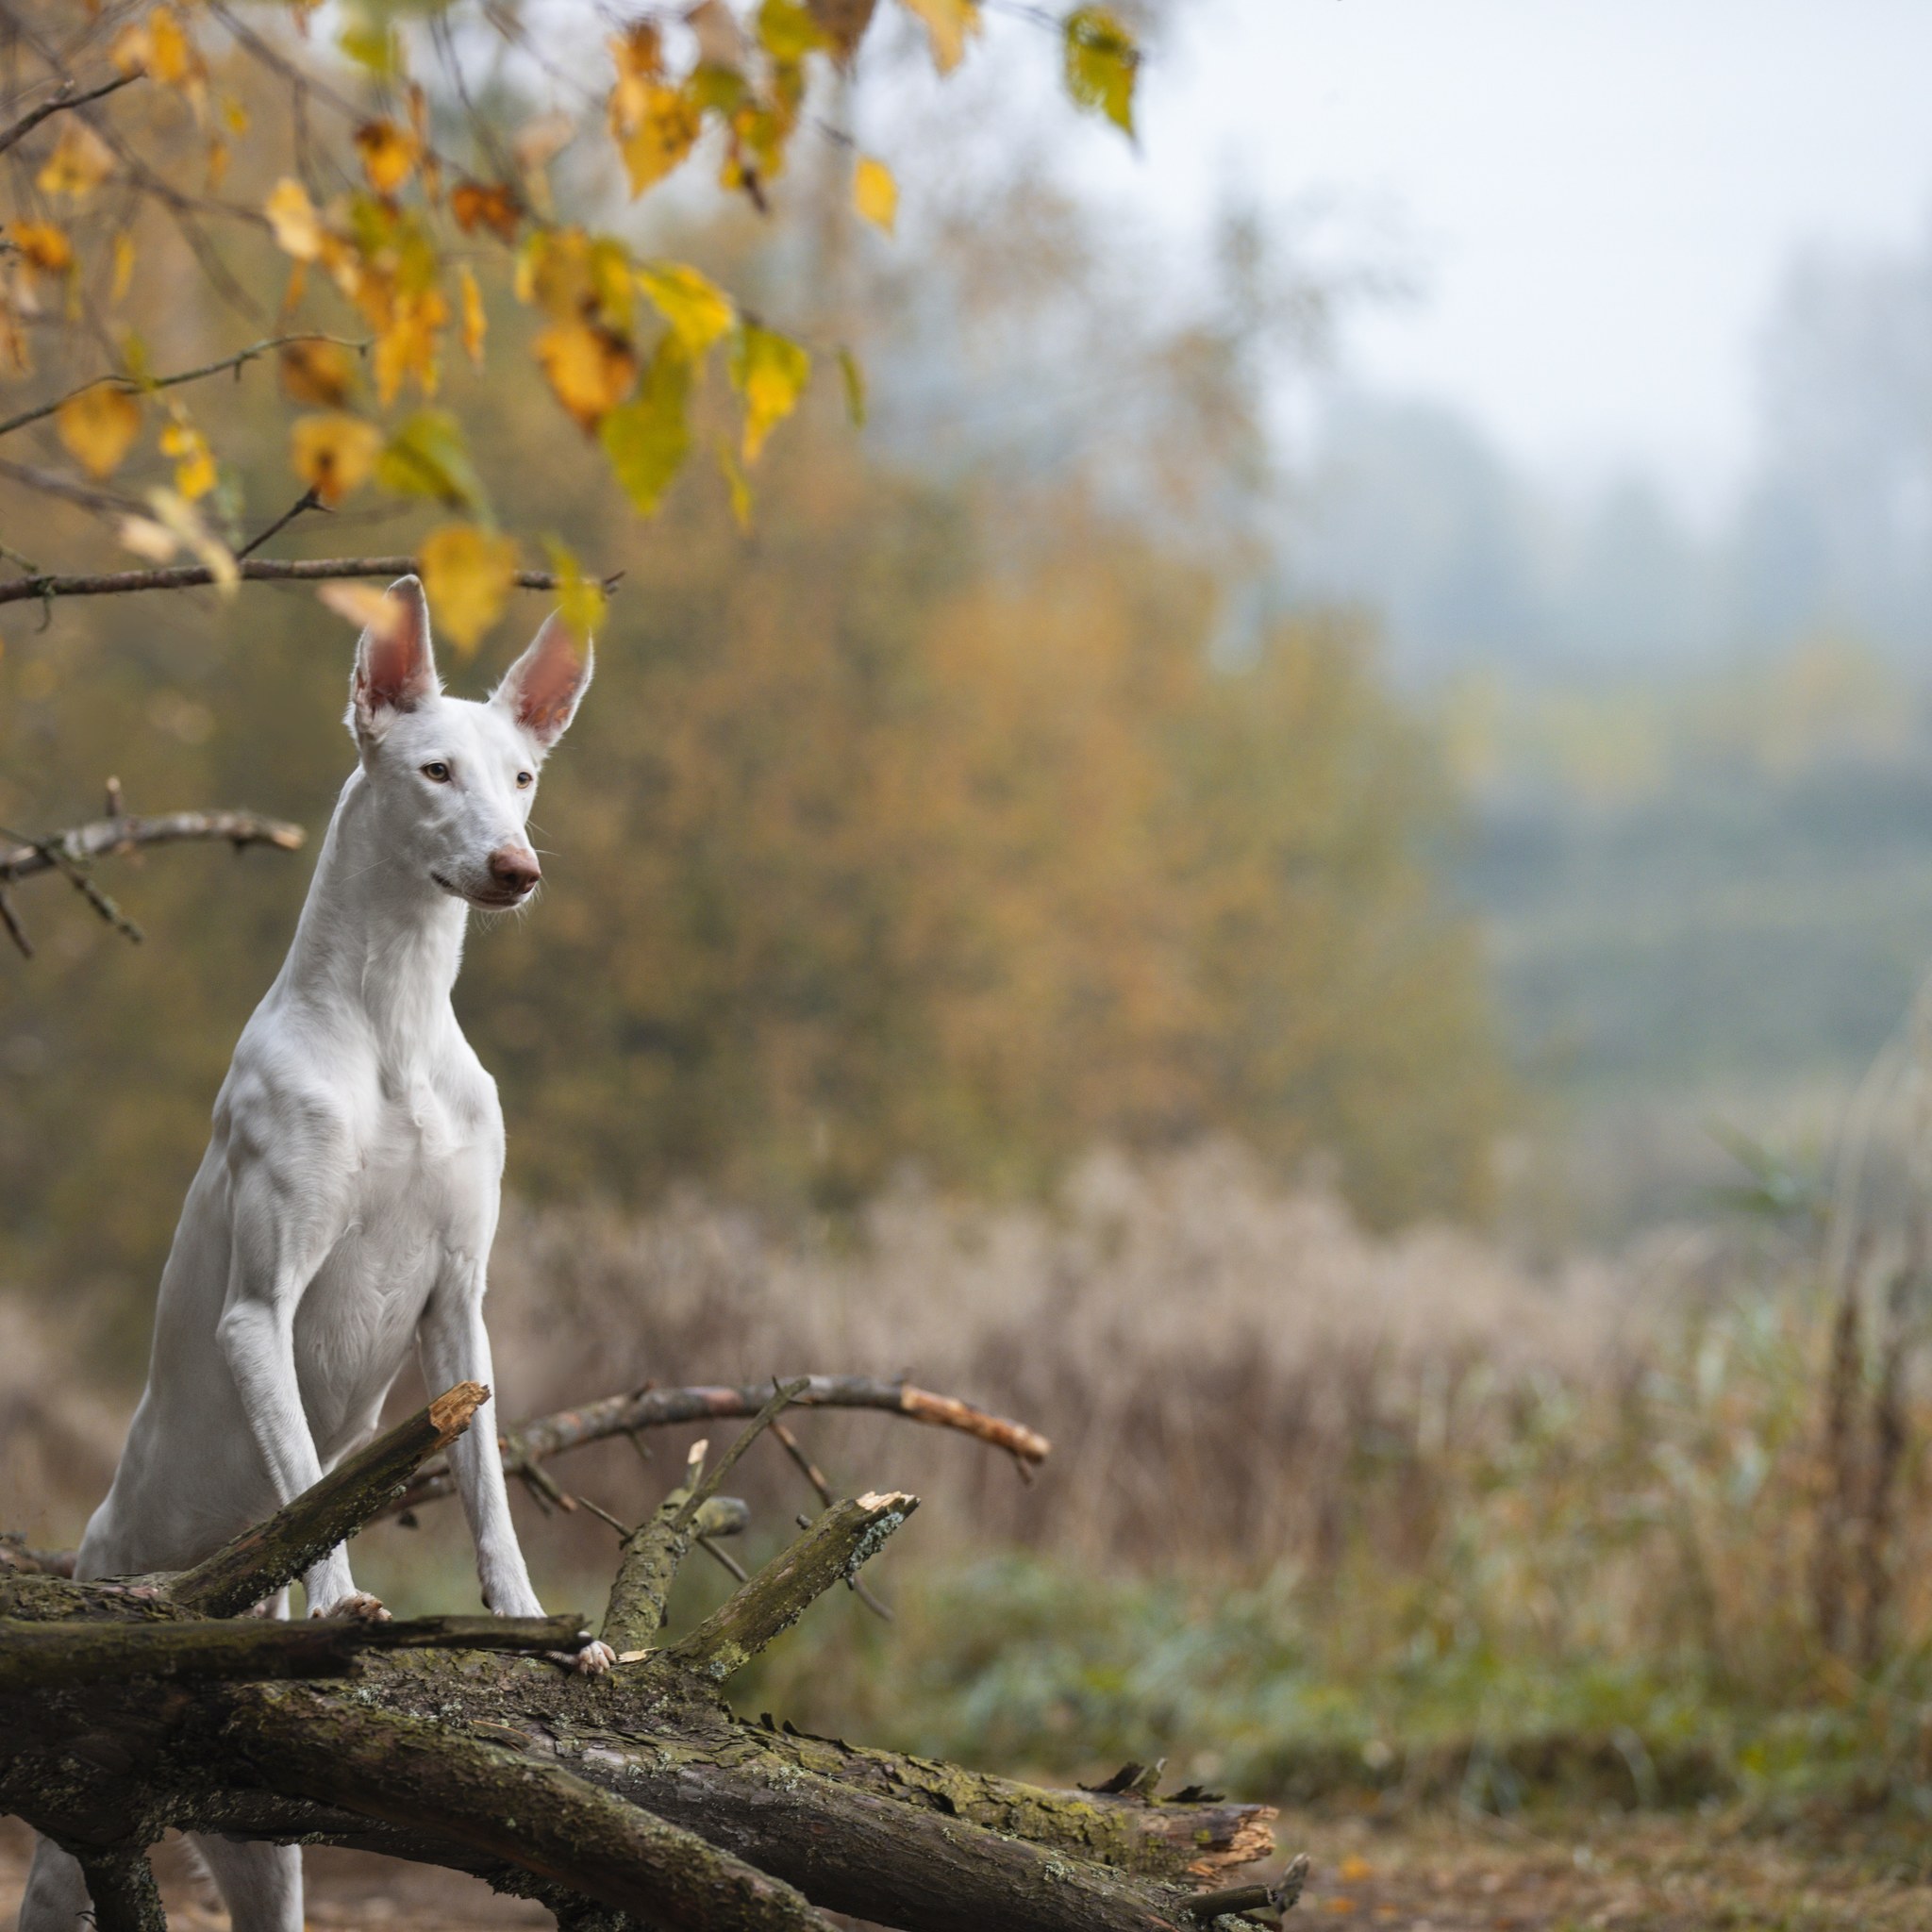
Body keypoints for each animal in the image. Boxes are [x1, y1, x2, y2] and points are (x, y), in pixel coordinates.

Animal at [18, 579, 610, 1932]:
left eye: (525, 777)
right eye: (434, 770)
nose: (518, 869)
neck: (391, 1030)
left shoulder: (462, 1313)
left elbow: (491, 1496)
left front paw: (546, 1629)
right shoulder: (260, 1309)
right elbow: (304, 1475)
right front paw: (341, 1603)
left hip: (269, 1853)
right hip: (69, 1848)